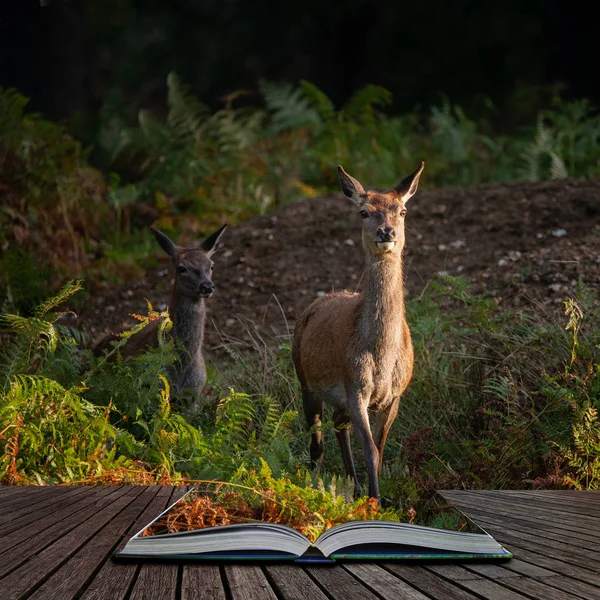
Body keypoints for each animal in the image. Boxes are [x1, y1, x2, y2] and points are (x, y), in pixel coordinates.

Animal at [290, 163, 422, 502]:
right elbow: (371, 450)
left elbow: (381, 448)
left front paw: (377, 495)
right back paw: (319, 481)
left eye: (402, 211)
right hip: (304, 379)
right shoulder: (355, 388)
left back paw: (354, 483)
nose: (386, 232)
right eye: (364, 212)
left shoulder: (395, 394)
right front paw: (376, 502)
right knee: (317, 441)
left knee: (338, 424)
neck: (381, 357)